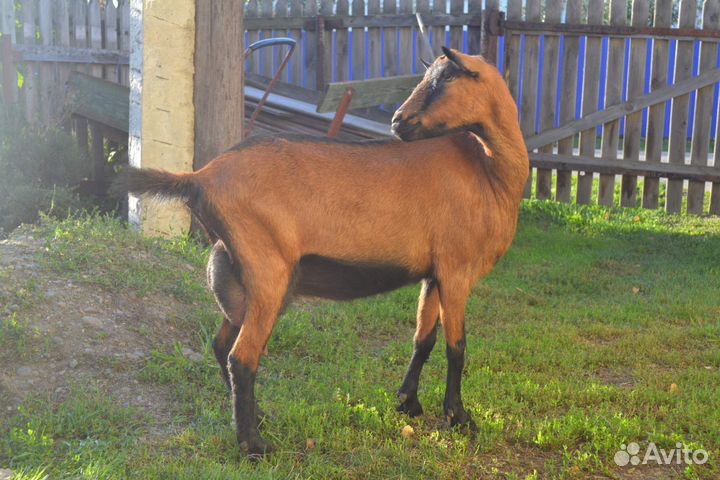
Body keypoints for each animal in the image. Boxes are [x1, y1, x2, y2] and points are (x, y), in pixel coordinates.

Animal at [114, 47, 529, 457]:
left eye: (445, 79)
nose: (398, 122)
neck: (488, 170)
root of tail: (201, 177)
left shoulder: (434, 272)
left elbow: (422, 340)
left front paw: (408, 403)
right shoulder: (457, 269)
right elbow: (457, 346)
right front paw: (460, 417)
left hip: (238, 276)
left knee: (221, 344)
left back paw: (258, 418)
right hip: (268, 271)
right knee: (242, 357)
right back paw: (253, 445)